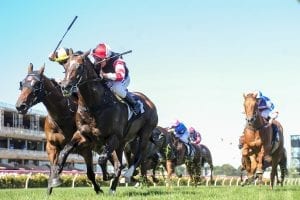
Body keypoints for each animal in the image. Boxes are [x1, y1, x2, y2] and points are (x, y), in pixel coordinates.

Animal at [15, 63, 101, 194]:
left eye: (37, 84)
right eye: (22, 83)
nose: (20, 106)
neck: (62, 116)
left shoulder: (84, 145)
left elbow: (67, 154)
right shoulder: (52, 145)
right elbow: (53, 167)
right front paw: (52, 183)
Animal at [57, 49, 158, 193]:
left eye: (80, 67)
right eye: (65, 67)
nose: (65, 87)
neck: (95, 105)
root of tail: (149, 102)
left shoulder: (113, 136)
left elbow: (101, 159)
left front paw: (107, 176)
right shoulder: (83, 135)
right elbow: (64, 151)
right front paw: (56, 173)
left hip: (144, 133)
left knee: (139, 155)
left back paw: (128, 174)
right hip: (123, 142)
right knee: (120, 163)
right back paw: (113, 187)